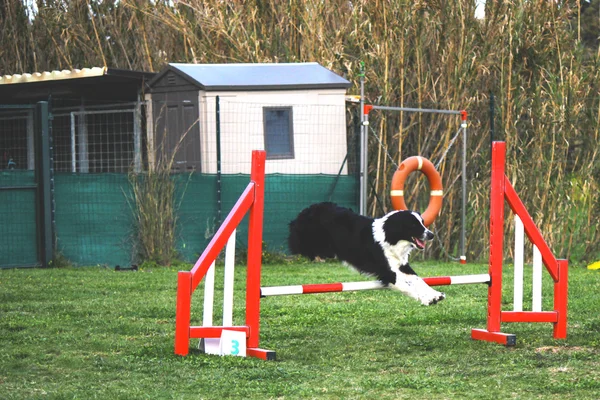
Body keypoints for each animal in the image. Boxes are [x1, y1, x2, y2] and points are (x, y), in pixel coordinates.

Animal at [290, 203, 446, 306]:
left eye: (422, 222)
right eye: (413, 225)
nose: (431, 235)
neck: (390, 237)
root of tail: (307, 209)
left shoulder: (401, 265)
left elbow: (418, 280)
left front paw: (435, 295)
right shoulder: (387, 272)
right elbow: (407, 285)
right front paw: (426, 299)